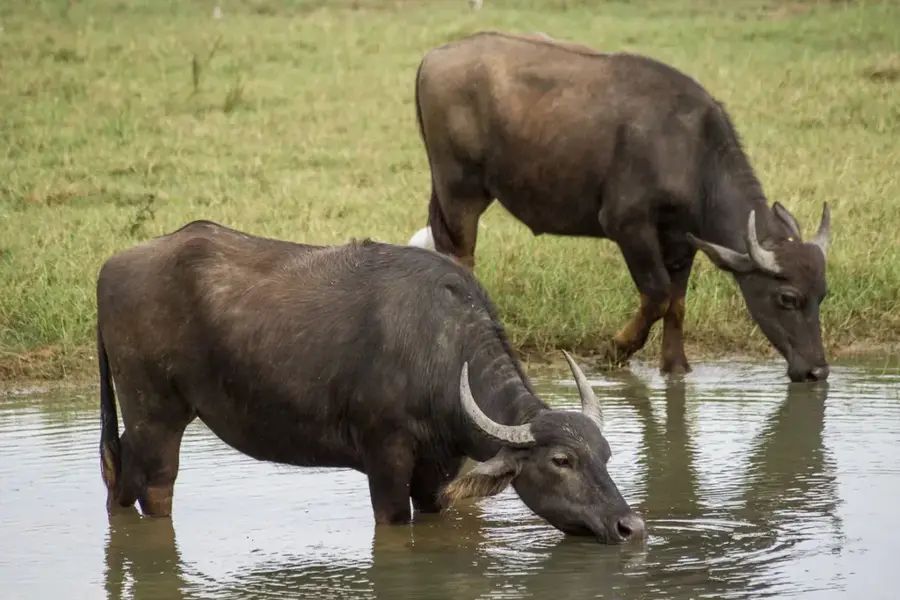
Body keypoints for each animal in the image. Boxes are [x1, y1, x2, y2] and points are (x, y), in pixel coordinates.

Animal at [97, 220, 644, 543]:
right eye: (561, 461)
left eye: (606, 454)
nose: (630, 525)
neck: (441, 353)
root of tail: (112, 266)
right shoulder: (385, 459)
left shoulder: (437, 471)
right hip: (156, 416)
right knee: (150, 487)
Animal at [409, 31, 831, 382]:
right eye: (787, 298)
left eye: (822, 294)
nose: (817, 371)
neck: (692, 152)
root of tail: (433, 57)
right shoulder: (629, 226)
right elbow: (658, 294)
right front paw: (615, 351)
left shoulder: (681, 240)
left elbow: (677, 303)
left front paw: (675, 367)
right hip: (460, 191)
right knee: (461, 257)